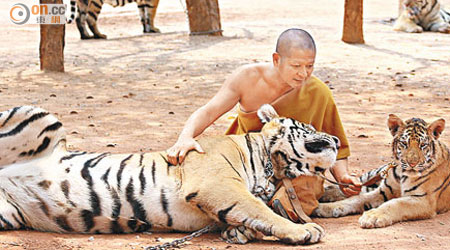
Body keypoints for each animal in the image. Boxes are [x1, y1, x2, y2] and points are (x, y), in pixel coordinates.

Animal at [0, 104, 340, 245]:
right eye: (309, 127)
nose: (337, 140)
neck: (273, 167)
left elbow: (250, 216)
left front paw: (239, 233)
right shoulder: (216, 183)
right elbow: (259, 209)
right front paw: (304, 230)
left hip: (7, 214)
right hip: (39, 117)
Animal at [312, 114, 450, 229]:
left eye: (423, 145)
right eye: (404, 143)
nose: (412, 164)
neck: (402, 174)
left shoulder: (423, 200)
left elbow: (394, 204)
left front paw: (372, 217)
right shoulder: (383, 191)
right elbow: (356, 199)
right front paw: (323, 208)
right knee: (354, 185)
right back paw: (325, 193)